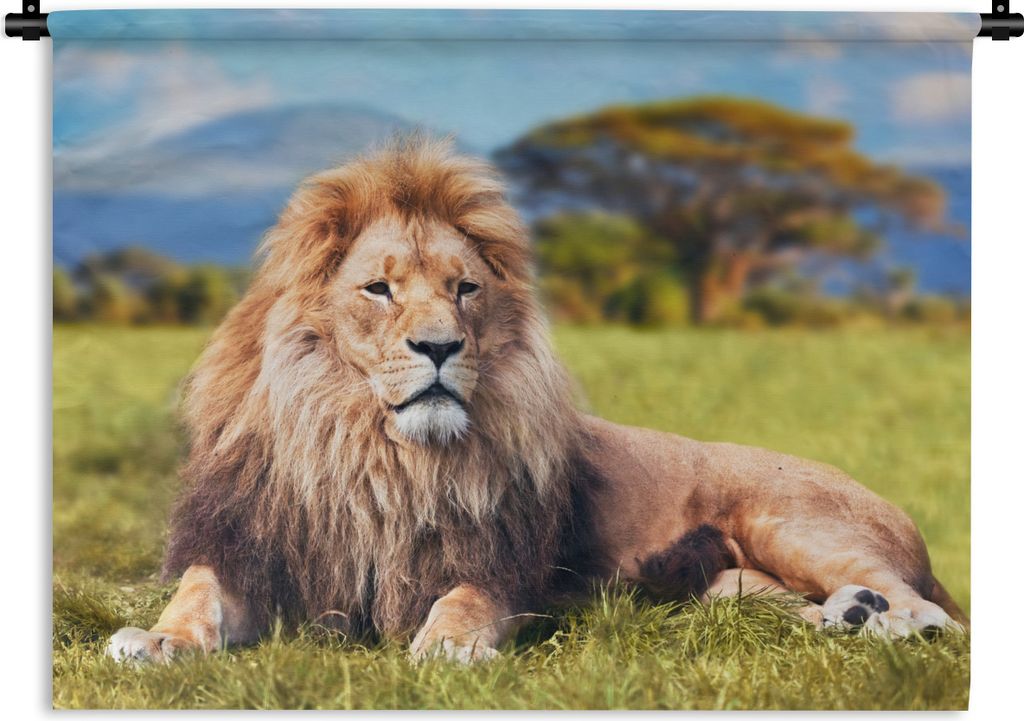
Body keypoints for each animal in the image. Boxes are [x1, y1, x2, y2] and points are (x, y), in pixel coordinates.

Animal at [107, 139, 966, 665]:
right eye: (379, 288)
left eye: (464, 289)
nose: (440, 346)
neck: (373, 452)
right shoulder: (254, 548)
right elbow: (196, 596)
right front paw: (154, 640)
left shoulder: (498, 565)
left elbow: (462, 600)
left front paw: (448, 647)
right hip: (728, 586)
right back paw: (847, 616)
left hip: (790, 519)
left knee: (935, 612)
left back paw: (887, 620)